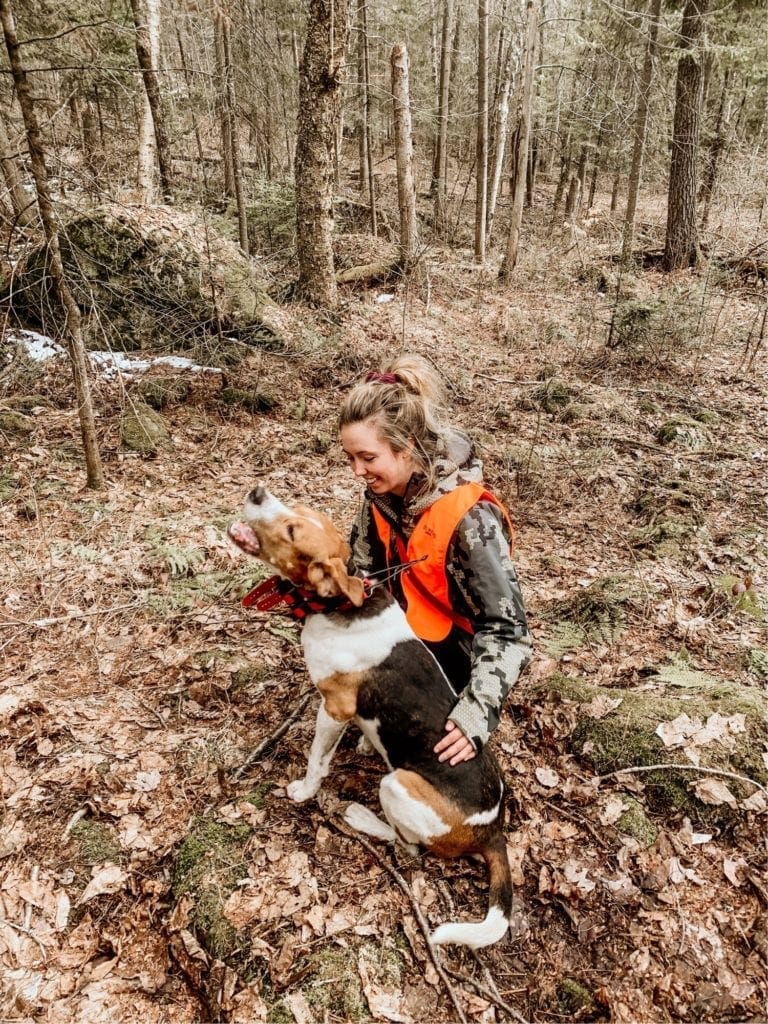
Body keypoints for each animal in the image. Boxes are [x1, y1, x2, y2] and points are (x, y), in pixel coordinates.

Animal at [228, 483, 518, 946]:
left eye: (291, 531)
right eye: (297, 510)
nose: (258, 491)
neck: (338, 605)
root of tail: (493, 828)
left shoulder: (334, 708)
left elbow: (317, 761)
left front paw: (304, 791)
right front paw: (366, 741)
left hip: (397, 784)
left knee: (408, 848)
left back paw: (360, 816)